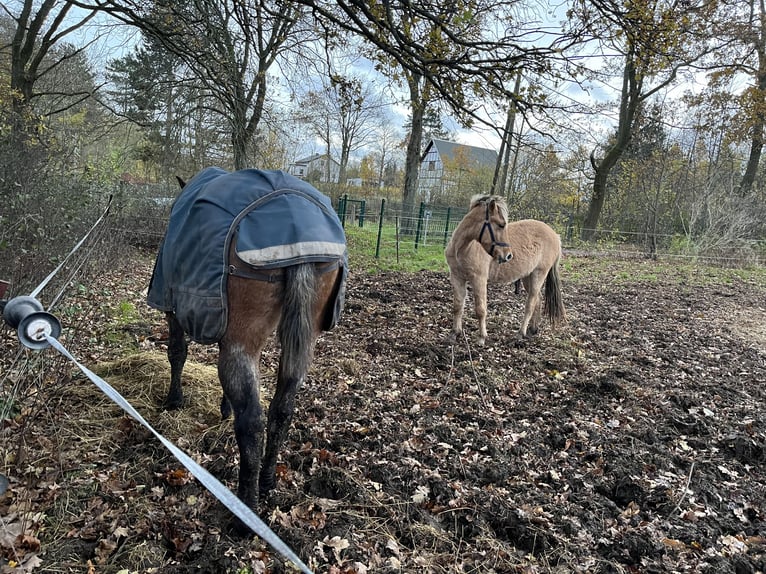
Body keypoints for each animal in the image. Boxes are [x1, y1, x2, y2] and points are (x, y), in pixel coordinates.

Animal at [146, 168, 348, 532]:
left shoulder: (172, 309)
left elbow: (177, 353)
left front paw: (174, 401)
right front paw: (224, 407)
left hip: (242, 339)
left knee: (252, 420)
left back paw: (246, 510)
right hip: (300, 340)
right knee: (281, 409)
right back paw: (266, 481)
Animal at [448, 194, 568, 346]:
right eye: (501, 225)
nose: (508, 255)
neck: (462, 248)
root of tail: (555, 236)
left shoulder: (479, 279)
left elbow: (480, 310)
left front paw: (481, 338)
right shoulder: (457, 277)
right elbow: (457, 306)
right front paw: (454, 334)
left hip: (539, 274)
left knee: (530, 303)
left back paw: (521, 333)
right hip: (527, 276)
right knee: (538, 300)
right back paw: (533, 329)